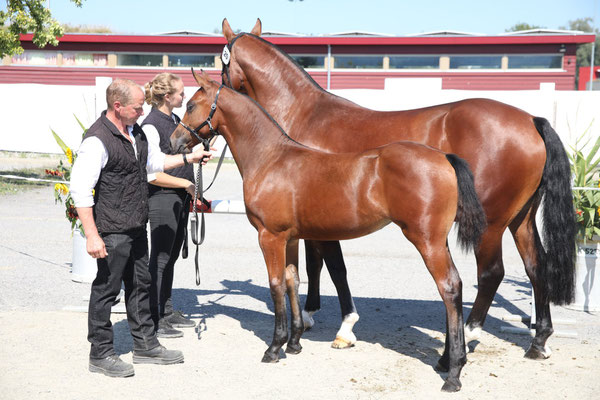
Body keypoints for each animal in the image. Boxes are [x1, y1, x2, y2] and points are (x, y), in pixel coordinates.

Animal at [172, 70, 488, 392]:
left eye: (190, 105)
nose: (174, 143)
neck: (271, 158)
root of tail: (443, 157)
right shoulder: (290, 238)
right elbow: (293, 280)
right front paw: (294, 342)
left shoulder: (270, 236)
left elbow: (276, 283)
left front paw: (274, 347)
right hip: (438, 241)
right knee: (454, 287)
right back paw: (446, 360)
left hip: (426, 241)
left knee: (448, 288)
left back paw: (453, 373)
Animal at [218, 18, 576, 360]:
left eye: (220, 65)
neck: (305, 117)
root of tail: (531, 120)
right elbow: (316, 265)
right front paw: (310, 316)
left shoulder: (322, 221)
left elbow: (332, 267)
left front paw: (340, 326)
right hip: (520, 219)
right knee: (536, 267)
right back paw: (539, 341)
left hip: (491, 224)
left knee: (491, 273)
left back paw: (470, 332)